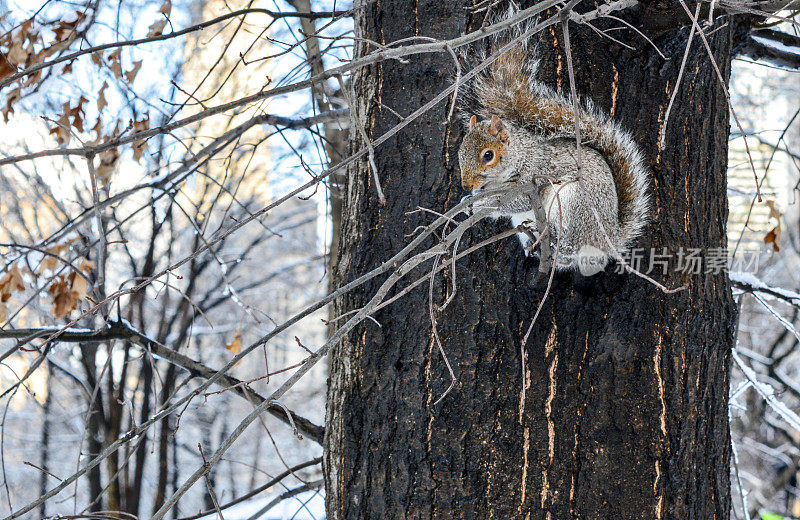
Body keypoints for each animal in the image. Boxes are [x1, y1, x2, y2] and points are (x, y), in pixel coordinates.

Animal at [456, 24, 648, 272]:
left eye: (488, 155)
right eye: (460, 153)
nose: (466, 184)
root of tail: (606, 241)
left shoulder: (532, 176)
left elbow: (513, 201)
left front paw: (480, 204)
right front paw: (468, 200)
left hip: (573, 203)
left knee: (569, 245)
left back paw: (557, 243)